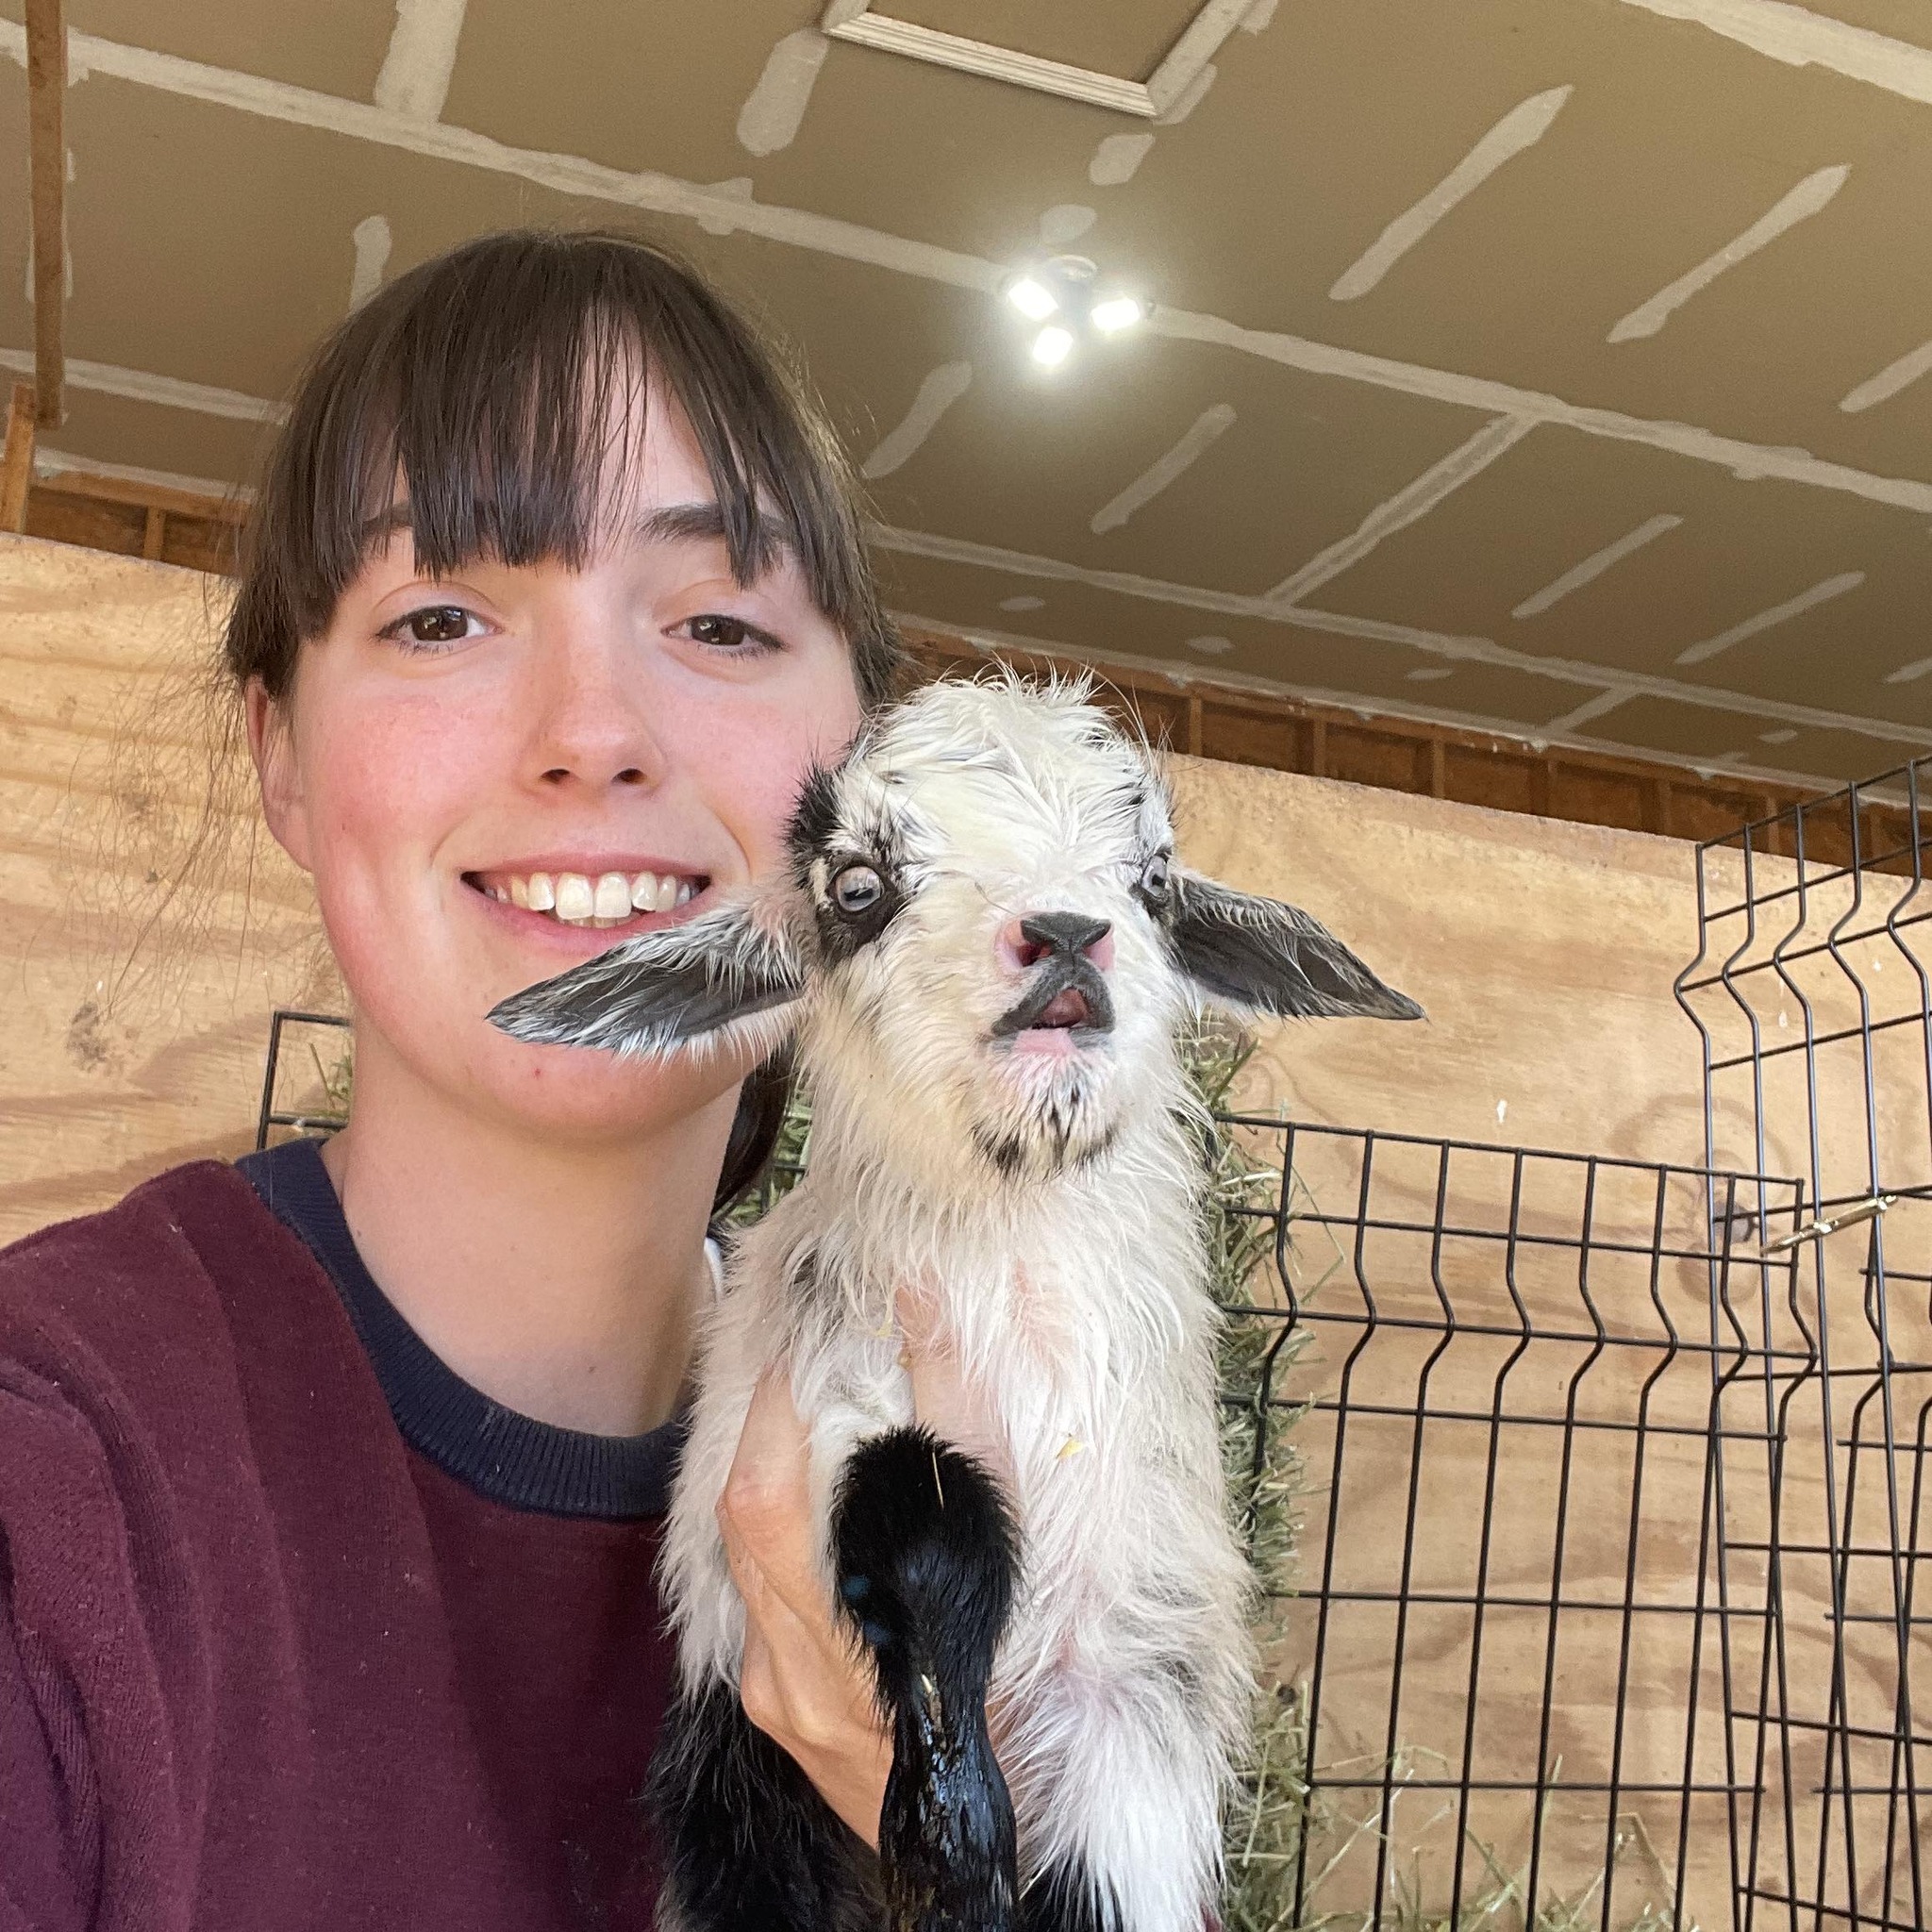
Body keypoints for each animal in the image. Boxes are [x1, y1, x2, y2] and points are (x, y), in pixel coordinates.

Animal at [490, 676, 1421, 1932]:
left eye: (1155, 876)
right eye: (856, 886)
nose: (1067, 933)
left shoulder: (1132, 1670)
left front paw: (953, 1834)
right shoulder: (829, 1410)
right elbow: (924, 1519)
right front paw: (951, 1827)